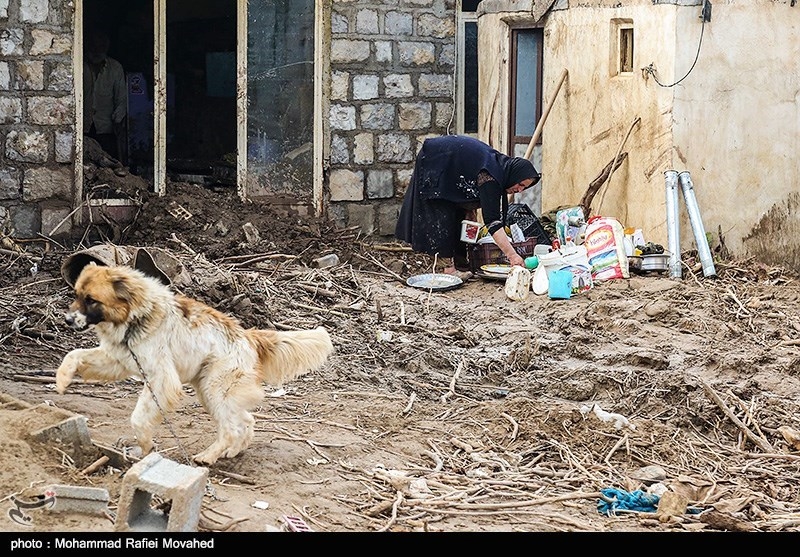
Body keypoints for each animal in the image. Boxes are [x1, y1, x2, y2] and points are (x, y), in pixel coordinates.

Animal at [54, 260, 332, 464]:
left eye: (92, 300)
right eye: (76, 295)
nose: (67, 320)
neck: (135, 316)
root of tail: (247, 336)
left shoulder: (161, 379)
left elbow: (138, 418)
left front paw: (145, 445)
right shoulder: (116, 360)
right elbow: (74, 354)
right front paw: (62, 379)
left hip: (215, 390)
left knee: (231, 428)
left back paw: (208, 456)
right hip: (211, 392)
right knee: (245, 422)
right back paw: (232, 451)